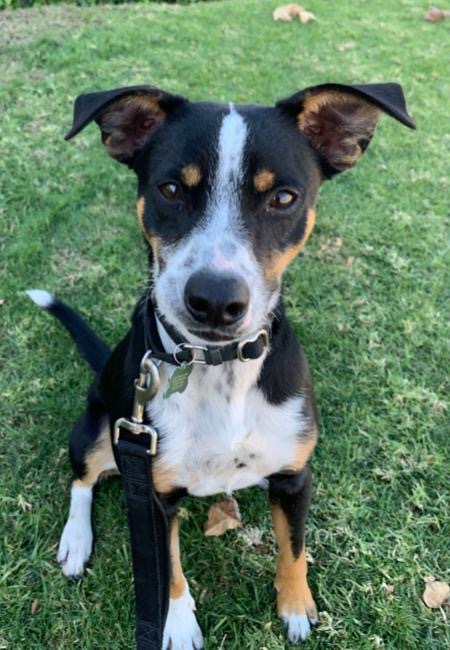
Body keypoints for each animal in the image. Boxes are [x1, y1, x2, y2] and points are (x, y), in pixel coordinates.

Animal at [27, 81, 414, 644]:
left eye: (283, 198)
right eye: (170, 190)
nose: (213, 299)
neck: (219, 368)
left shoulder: (295, 476)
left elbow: (293, 547)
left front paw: (296, 606)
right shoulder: (154, 495)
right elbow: (167, 567)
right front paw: (178, 625)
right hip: (102, 424)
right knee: (83, 476)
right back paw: (76, 541)